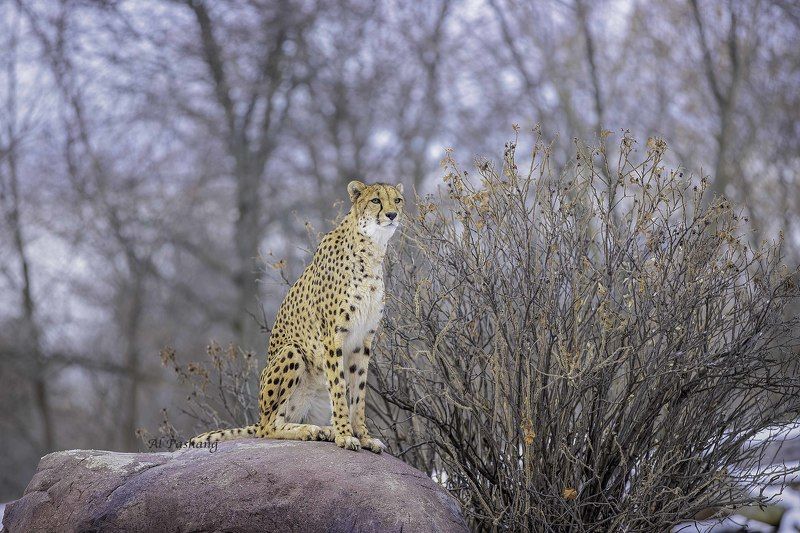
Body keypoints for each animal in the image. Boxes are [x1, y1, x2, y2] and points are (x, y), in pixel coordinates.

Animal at [189, 180, 404, 453]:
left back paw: (322, 429)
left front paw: (363, 436)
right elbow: (339, 389)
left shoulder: (363, 340)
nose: (392, 215)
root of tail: (257, 417)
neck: (372, 249)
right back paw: (310, 430)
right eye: (376, 200)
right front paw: (345, 436)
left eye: (397, 200)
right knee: (268, 428)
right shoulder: (332, 337)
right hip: (292, 351)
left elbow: (358, 394)